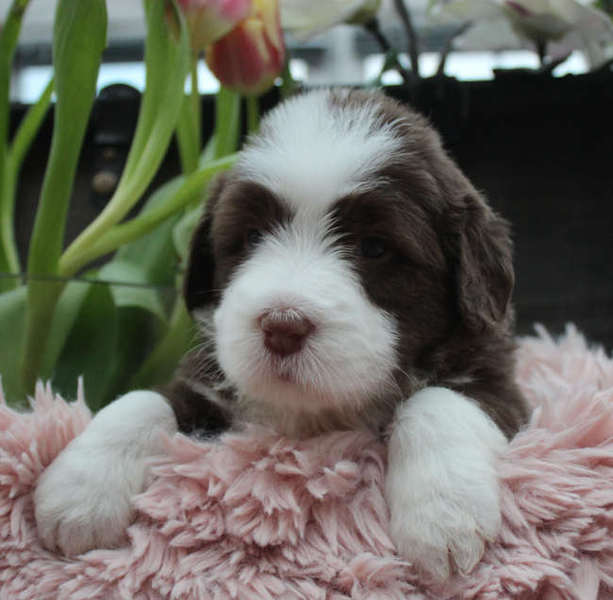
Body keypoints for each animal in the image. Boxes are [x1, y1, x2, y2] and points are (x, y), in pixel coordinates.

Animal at [34, 88, 528, 581]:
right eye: (252, 237)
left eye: (375, 247)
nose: (282, 326)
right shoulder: (205, 379)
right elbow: (143, 400)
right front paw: (78, 491)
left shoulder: (498, 383)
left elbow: (438, 400)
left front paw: (444, 515)